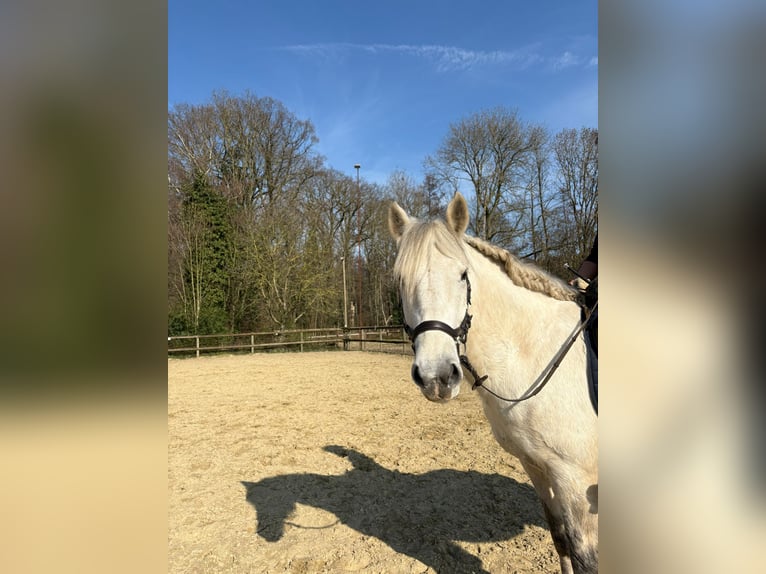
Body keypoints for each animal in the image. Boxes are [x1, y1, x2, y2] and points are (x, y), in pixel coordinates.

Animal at [388, 193, 598, 574]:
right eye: (400, 281)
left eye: (462, 275)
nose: (437, 377)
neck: (538, 354)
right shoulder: (538, 468)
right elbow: (560, 539)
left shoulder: (576, 479)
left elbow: (584, 557)